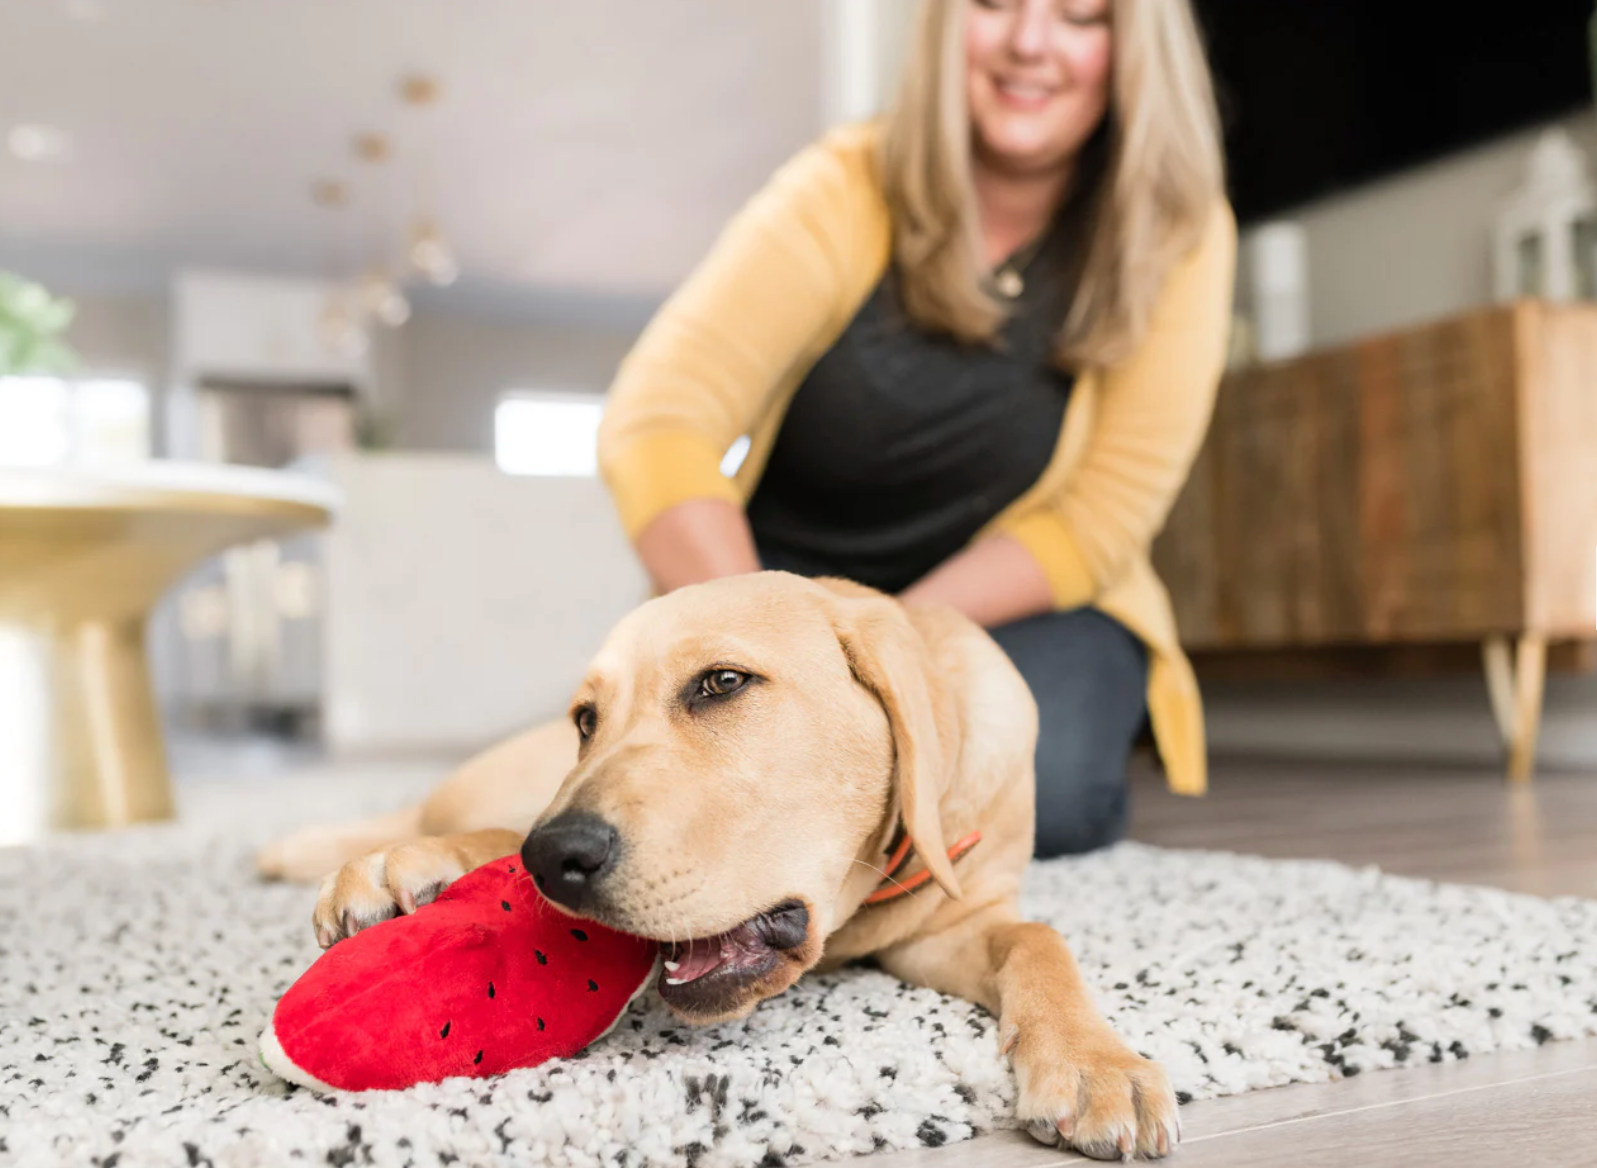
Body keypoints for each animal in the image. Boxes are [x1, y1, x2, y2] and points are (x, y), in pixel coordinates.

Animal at [261, 572, 1181, 1156]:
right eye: (587, 720)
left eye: (721, 683)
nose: (553, 858)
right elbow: (487, 841)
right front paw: (408, 871)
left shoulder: (952, 929)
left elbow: (1039, 941)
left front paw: (1095, 1064)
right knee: (439, 816)